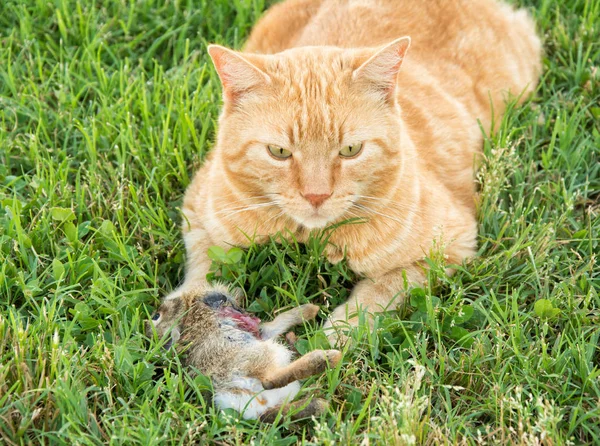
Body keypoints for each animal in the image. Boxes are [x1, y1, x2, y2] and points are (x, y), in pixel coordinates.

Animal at [166, 0, 540, 344]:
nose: (316, 195)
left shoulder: (451, 246)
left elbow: (380, 291)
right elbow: (203, 269)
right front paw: (184, 314)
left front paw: (336, 333)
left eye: (350, 150)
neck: (310, 236)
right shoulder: (197, 210)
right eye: (279, 152)